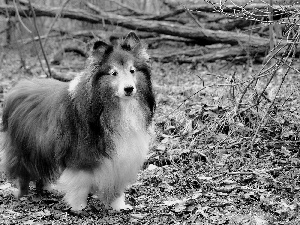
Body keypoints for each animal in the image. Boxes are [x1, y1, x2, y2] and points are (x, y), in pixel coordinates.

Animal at [0, 31, 155, 211]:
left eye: (132, 70)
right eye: (113, 73)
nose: (129, 89)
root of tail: (17, 88)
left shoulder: (120, 158)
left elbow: (116, 187)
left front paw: (119, 206)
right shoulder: (81, 156)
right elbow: (80, 185)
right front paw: (78, 207)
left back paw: (47, 189)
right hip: (25, 148)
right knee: (23, 173)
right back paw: (22, 194)